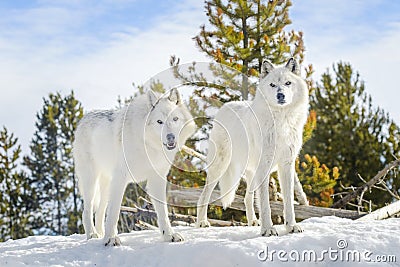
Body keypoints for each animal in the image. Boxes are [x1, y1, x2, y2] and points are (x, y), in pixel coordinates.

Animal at [74, 89, 196, 247]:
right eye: (159, 122)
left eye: (175, 119)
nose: (171, 138)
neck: (147, 145)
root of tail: (84, 118)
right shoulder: (120, 178)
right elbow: (114, 213)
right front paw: (111, 239)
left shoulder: (157, 179)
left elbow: (163, 212)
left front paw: (169, 236)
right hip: (91, 181)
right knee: (87, 211)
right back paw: (93, 235)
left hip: (106, 185)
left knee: (99, 212)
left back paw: (100, 234)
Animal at [198, 58, 310, 237]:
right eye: (272, 85)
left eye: (288, 83)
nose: (280, 95)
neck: (281, 121)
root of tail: (225, 106)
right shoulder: (265, 167)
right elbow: (265, 204)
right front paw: (268, 230)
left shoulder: (286, 165)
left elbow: (288, 202)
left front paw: (291, 226)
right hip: (220, 168)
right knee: (203, 196)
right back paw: (201, 222)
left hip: (251, 173)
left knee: (247, 198)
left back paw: (253, 222)